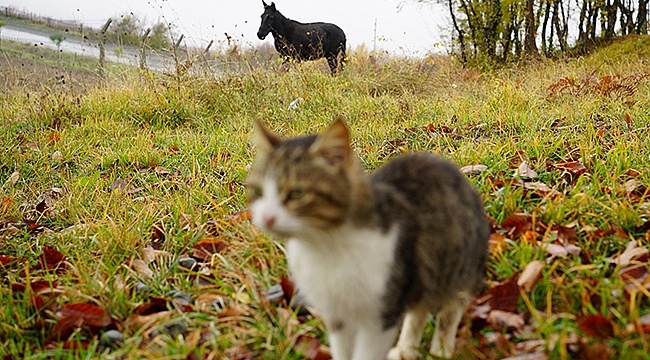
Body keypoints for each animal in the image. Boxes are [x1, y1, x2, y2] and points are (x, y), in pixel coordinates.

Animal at [247, 119, 486, 358]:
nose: (266, 217)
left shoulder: (381, 314)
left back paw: (440, 351)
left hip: (456, 271)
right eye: (258, 191)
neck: (325, 248)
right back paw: (406, 350)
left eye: (297, 193)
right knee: (418, 311)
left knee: (449, 312)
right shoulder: (337, 315)